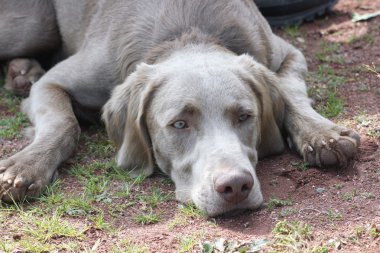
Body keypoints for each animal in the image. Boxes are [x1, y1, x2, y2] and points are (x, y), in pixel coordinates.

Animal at [0, 0, 360, 215]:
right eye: (179, 124)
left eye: (245, 116)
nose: (235, 186)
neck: (189, 33)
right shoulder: (54, 83)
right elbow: (64, 123)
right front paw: (25, 167)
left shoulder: (285, 52)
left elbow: (290, 92)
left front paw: (323, 135)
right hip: (29, 26)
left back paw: (22, 71)